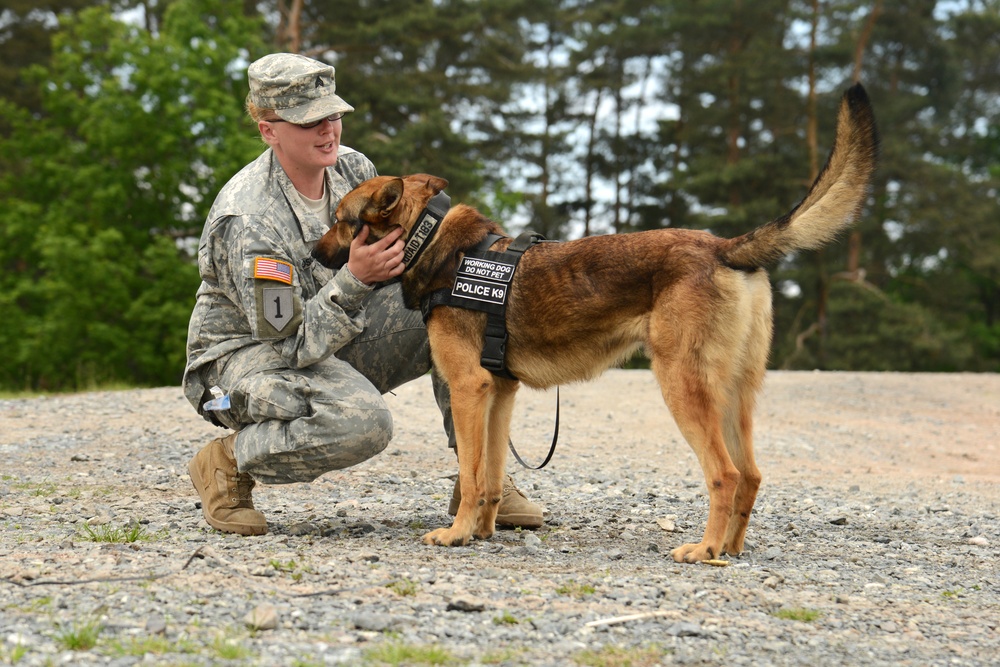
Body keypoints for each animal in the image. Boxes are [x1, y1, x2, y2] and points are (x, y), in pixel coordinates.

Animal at [312, 83, 876, 564]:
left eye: (341, 220)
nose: (314, 254)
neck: (431, 241)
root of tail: (723, 247)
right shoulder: (498, 395)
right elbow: (490, 476)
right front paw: (482, 532)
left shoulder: (469, 388)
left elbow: (472, 476)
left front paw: (455, 535)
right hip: (735, 394)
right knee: (752, 475)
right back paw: (730, 549)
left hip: (682, 387)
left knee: (725, 474)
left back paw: (704, 550)